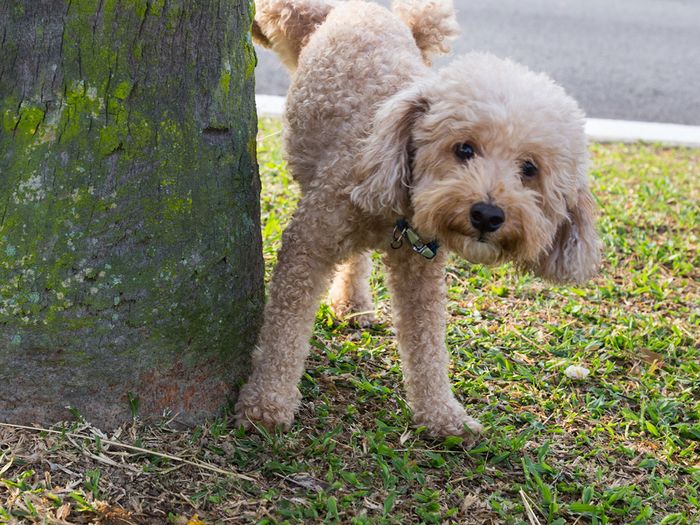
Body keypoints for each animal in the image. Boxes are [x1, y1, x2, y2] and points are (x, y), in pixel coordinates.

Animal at [235, 0, 600, 442]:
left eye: (529, 169)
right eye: (464, 149)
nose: (487, 214)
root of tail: (362, 8)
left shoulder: (420, 269)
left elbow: (427, 345)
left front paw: (442, 415)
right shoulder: (309, 243)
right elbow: (284, 330)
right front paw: (267, 402)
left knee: (357, 260)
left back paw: (354, 303)